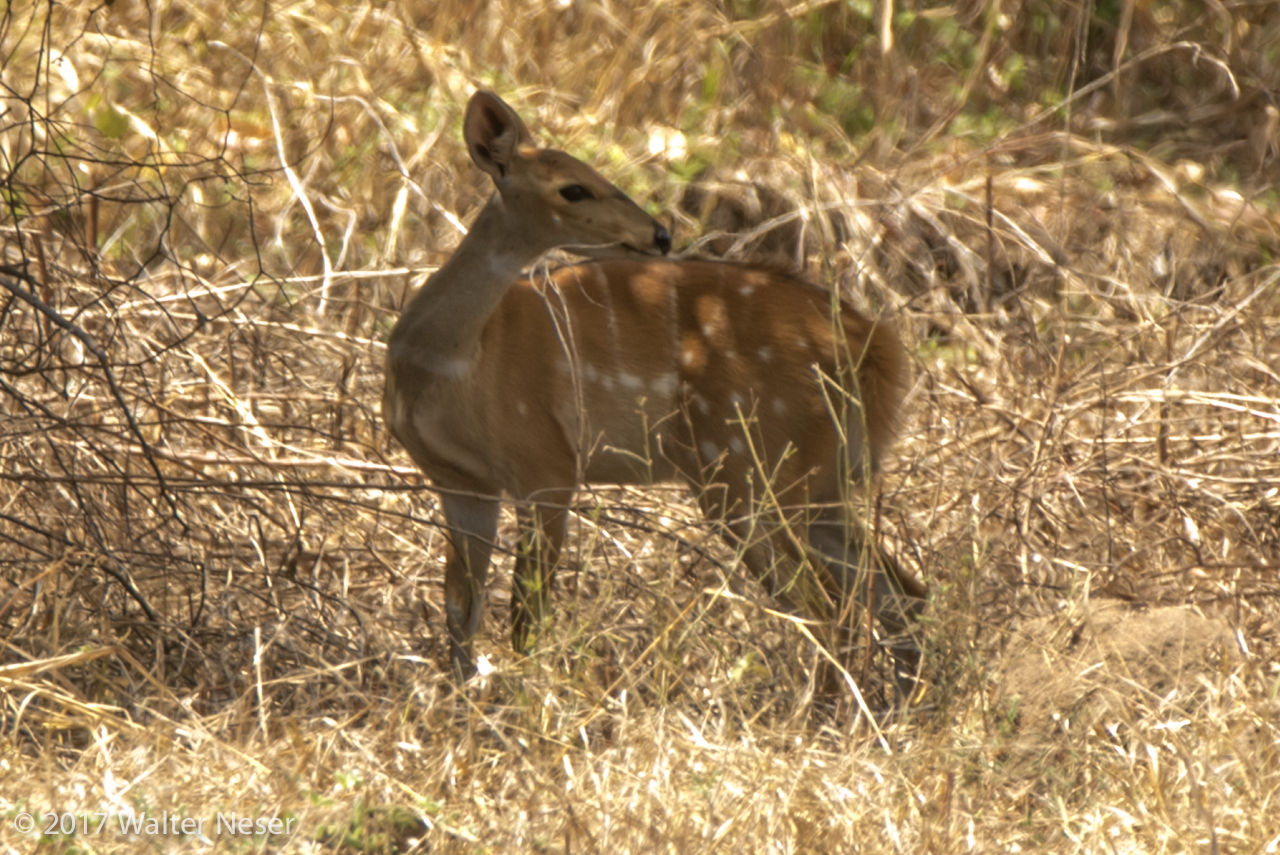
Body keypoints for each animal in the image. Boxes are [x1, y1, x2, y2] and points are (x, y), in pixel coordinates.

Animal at [384, 92, 926, 680]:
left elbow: (526, 616)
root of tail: (878, 346)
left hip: (747, 472)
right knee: (899, 594)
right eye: (573, 187)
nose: (661, 235)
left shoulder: (548, 467)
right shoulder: (460, 481)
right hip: (820, 483)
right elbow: (461, 609)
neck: (451, 364)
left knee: (829, 607)